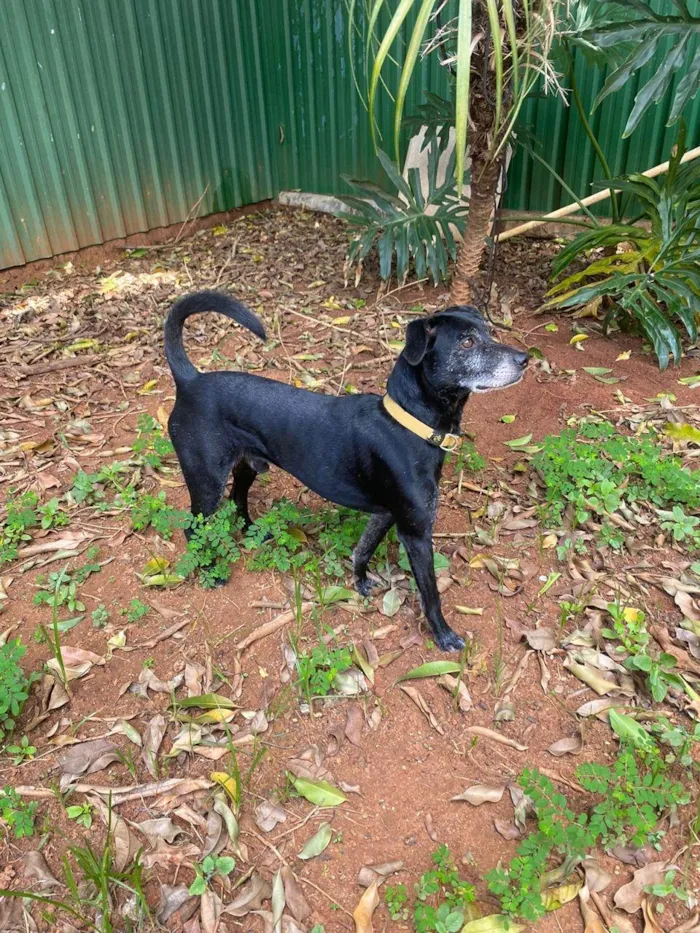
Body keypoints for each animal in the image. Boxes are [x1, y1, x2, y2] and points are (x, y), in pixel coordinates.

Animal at [164, 292, 524, 648]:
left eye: (489, 333)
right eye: (467, 342)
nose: (524, 358)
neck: (409, 423)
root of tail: (190, 380)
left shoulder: (386, 514)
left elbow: (362, 549)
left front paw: (360, 581)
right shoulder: (416, 532)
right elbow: (430, 592)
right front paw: (444, 635)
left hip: (249, 464)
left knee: (238, 495)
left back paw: (254, 531)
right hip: (206, 480)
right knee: (192, 529)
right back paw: (210, 570)